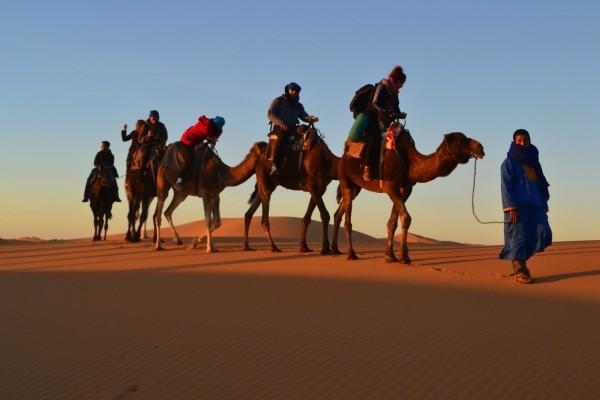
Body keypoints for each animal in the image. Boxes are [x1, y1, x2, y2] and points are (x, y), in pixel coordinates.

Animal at [243, 125, 340, 255]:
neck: (327, 161)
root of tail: (260, 158)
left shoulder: (320, 188)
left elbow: (306, 218)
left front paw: (304, 247)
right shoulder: (312, 185)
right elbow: (325, 215)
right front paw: (325, 249)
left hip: (267, 185)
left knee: (249, 213)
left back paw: (246, 246)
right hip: (265, 180)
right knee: (264, 218)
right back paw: (273, 247)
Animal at [330, 125, 486, 262]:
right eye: (460, 140)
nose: (480, 147)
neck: (409, 163)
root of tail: (343, 156)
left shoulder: (406, 188)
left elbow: (393, 222)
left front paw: (390, 256)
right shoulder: (390, 186)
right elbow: (406, 217)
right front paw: (404, 257)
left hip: (356, 187)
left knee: (339, 212)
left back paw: (335, 250)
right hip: (345, 178)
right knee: (347, 218)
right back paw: (351, 254)